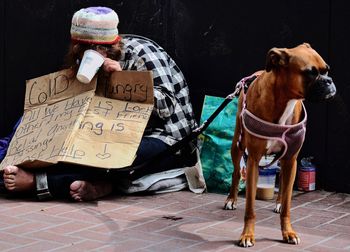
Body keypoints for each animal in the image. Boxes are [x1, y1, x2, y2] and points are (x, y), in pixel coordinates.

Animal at [224, 42, 336, 246]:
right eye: (310, 72)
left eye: (327, 70)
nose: (329, 81)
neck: (286, 100)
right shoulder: (253, 161)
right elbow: (250, 208)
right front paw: (247, 235)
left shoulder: (291, 159)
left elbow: (287, 206)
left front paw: (288, 232)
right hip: (237, 145)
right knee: (236, 172)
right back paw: (231, 199)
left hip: (286, 161)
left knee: (284, 184)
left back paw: (278, 202)